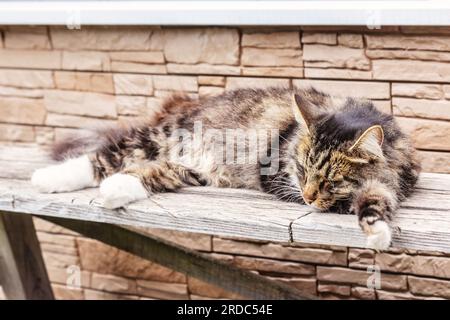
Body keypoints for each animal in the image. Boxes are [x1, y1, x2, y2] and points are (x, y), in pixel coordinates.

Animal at [32, 87, 422, 250]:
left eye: (330, 179)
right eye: (301, 169)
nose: (309, 195)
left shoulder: (396, 181)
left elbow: (375, 197)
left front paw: (376, 229)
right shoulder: (277, 177)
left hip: (193, 167)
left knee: (152, 172)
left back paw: (115, 190)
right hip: (159, 138)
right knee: (103, 156)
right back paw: (46, 179)